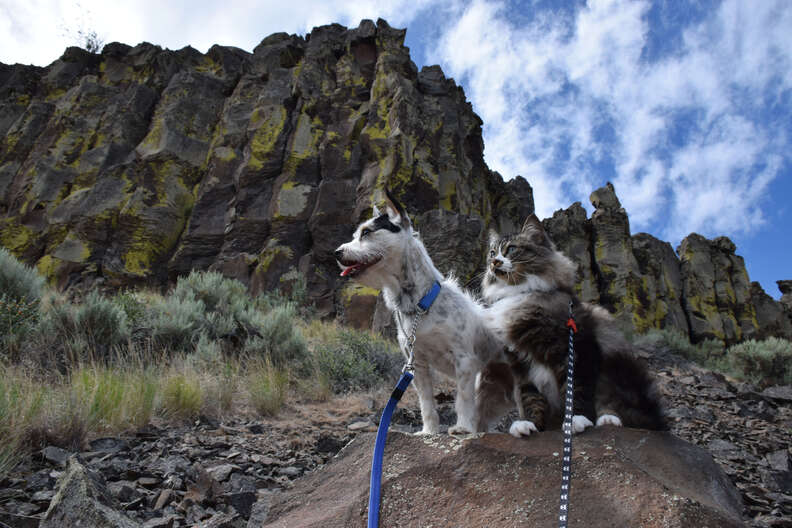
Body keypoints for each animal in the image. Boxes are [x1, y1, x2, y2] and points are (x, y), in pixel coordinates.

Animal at [332, 190, 504, 434]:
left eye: (367, 232)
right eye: (357, 234)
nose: (336, 253)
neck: (418, 306)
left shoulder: (464, 360)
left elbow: (463, 399)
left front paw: (462, 427)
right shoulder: (417, 365)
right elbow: (427, 403)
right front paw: (429, 431)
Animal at [474, 214, 664, 438]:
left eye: (511, 249)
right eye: (492, 253)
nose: (494, 262)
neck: (518, 293)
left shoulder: (575, 347)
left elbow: (575, 390)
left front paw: (576, 419)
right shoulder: (519, 362)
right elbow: (531, 398)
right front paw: (531, 425)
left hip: (616, 367)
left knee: (619, 407)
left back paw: (608, 419)